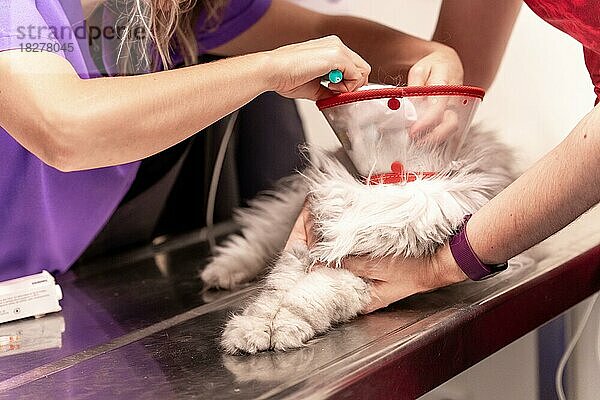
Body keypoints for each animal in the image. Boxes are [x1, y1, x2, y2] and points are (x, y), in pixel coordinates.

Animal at [199, 126, 512, 354]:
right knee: (254, 238)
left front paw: (284, 330)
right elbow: (273, 297)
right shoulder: (300, 253)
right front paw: (249, 331)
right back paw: (219, 272)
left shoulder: (352, 280)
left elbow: (305, 298)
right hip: (282, 221)